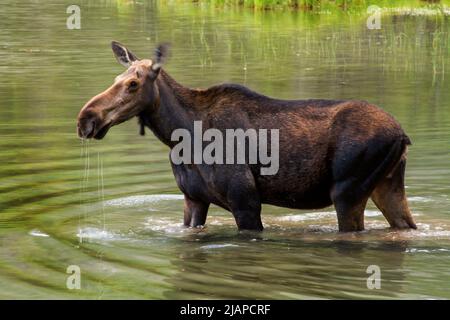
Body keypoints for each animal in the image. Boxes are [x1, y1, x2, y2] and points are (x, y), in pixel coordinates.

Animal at [78, 42, 418, 232]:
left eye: (133, 84)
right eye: (117, 78)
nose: (86, 119)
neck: (180, 136)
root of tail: (402, 135)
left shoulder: (245, 201)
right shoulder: (193, 200)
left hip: (348, 192)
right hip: (386, 185)